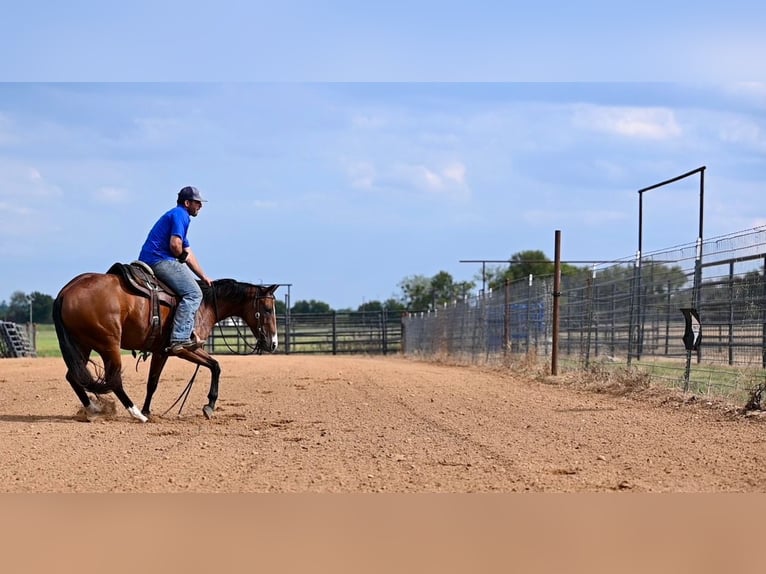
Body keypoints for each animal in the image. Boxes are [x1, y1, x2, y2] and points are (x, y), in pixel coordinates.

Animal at [51, 266, 280, 424]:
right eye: (268, 309)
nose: (273, 343)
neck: (204, 304)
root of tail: (65, 292)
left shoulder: (161, 352)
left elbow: (153, 383)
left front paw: (148, 410)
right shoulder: (184, 348)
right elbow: (215, 366)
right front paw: (209, 405)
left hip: (83, 344)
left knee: (73, 377)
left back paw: (94, 409)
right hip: (108, 344)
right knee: (113, 380)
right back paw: (135, 414)